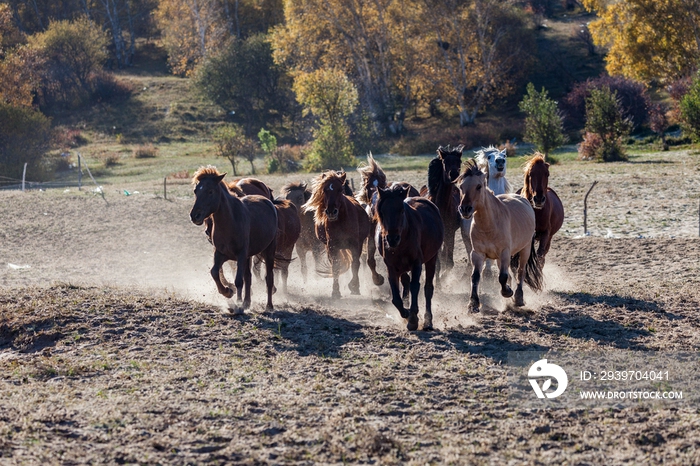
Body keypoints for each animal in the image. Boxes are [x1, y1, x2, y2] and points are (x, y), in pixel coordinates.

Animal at [193, 166, 280, 312]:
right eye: (196, 191)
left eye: (210, 191)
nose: (194, 215)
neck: (230, 221)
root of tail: (267, 200)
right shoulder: (221, 254)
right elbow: (215, 272)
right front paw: (228, 292)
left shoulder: (241, 254)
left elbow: (239, 280)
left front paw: (238, 305)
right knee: (249, 277)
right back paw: (247, 302)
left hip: (269, 251)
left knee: (269, 278)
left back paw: (269, 306)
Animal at [378, 185, 442, 332]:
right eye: (382, 212)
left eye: (401, 210)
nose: (392, 239)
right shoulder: (391, 267)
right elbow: (396, 297)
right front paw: (406, 313)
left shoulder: (416, 263)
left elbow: (415, 286)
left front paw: (413, 318)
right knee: (405, 281)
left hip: (432, 259)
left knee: (428, 288)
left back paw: (428, 321)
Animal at [456, 161, 544, 314]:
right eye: (461, 187)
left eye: (478, 186)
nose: (465, 209)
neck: (489, 225)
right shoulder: (477, 254)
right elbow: (475, 277)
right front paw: (473, 304)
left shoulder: (505, 252)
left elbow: (503, 277)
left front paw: (507, 292)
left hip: (525, 249)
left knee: (520, 273)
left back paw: (518, 298)